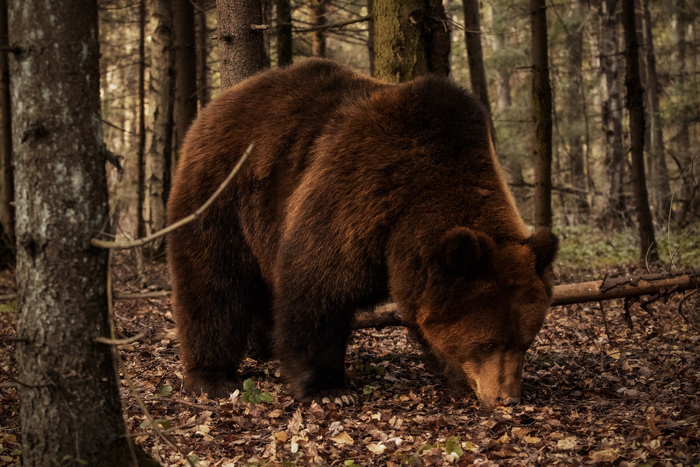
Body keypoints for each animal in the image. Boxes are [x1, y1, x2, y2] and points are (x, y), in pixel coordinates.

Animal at [168, 58, 556, 408]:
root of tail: (214, 106)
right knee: (214, 285)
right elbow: (316, 290)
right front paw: (328, 389)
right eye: (489, 342)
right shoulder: (357, 199)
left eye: (525, 342)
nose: (508, 399)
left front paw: (457, 375)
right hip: (223, 194)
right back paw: (212, 376)